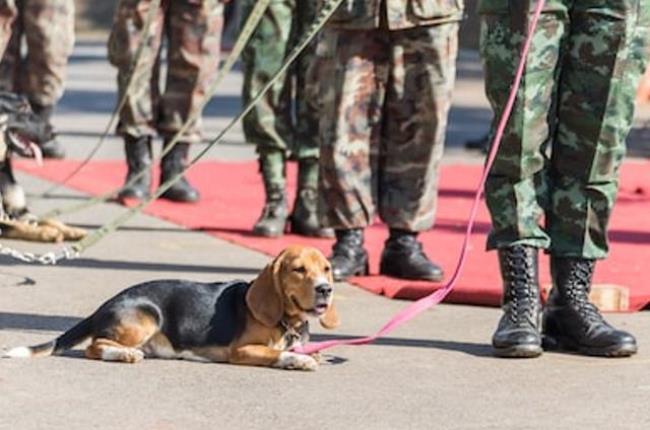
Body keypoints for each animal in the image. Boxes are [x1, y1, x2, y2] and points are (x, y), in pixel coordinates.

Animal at [3, 245, 340, 370]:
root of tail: (104, 305)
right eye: (298, 270)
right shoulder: (242, 351)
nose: (325, 289)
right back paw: (125, 354)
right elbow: (276, 354)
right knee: (94, 346)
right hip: (148, 315)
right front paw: (297, 360)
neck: (288, 321)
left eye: (326, 268)